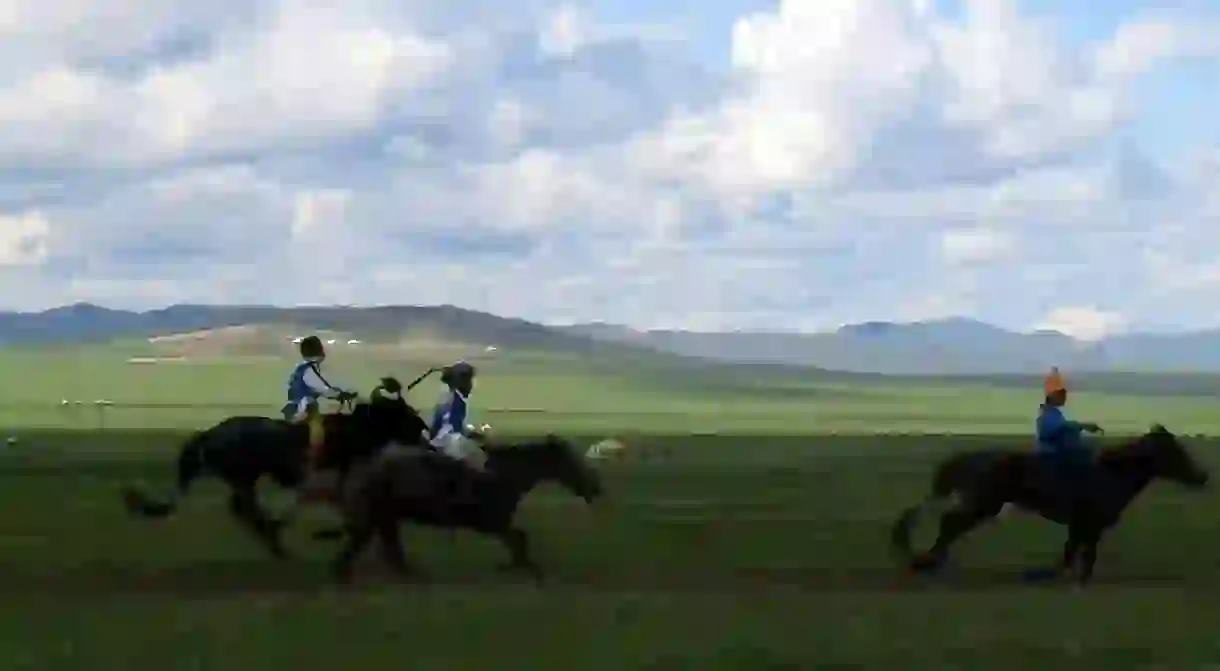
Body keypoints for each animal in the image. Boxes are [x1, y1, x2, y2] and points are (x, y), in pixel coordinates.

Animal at [893, 429, 1205, 585]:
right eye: (1173, 451)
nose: (1202, 477)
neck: (1111, 473)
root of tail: (968, 458)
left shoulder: (1082, 524)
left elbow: (1073, 550)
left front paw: (1056, 574)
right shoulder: (1089, 523)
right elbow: (1083, 553)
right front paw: (1076, 579)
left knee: (950, 523)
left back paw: (929, 562)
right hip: (983, 504)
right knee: (950, 523)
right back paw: (928, 563)